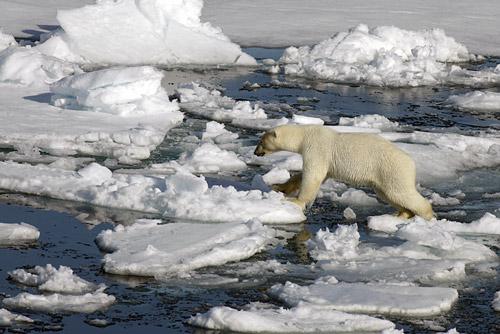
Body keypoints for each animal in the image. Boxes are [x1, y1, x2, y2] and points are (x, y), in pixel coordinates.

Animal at [254, 124, 434, 220]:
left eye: (261, 141)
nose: (256, 152)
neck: (306, 134)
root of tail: (411, 162)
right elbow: (310, 175)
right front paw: (279, 187)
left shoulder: (317, 148)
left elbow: (313, 175)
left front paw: (296, 201)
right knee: (388, 194)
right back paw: (401, 214)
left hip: (392, 169)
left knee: (401, 193)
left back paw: (426, 215)